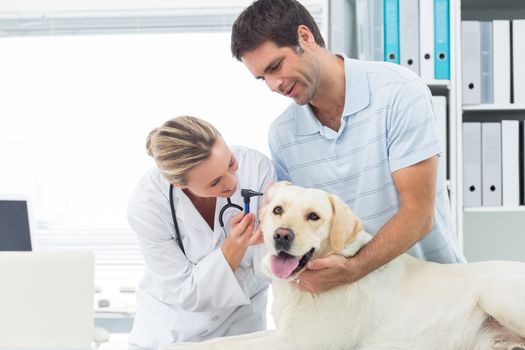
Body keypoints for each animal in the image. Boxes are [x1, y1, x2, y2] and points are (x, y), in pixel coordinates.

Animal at [164, 182, 524, 348]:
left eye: (313, 216)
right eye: (278, 210)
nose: (282, 236)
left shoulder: (297, 342)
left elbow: (229, 345)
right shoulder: (281, 333)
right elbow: (218, 342)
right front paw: (179, 343)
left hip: (495, 293)